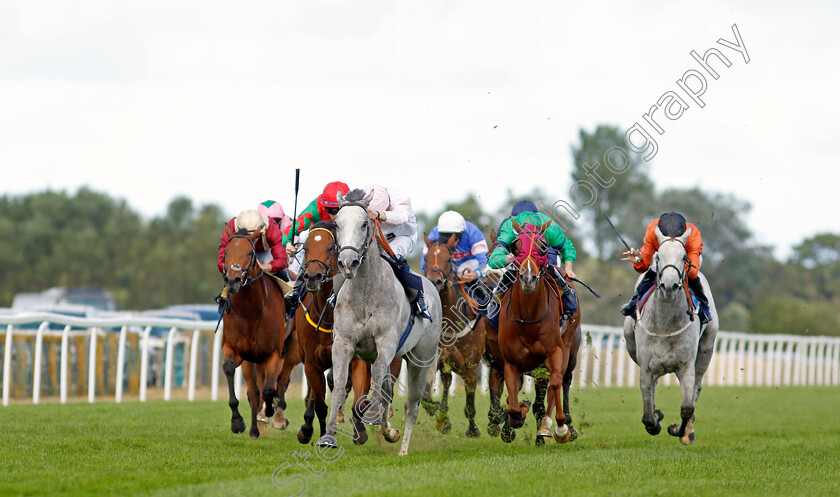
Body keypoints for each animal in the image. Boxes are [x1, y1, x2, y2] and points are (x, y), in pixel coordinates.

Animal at [221, 227, 288, 436]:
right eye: (226, 252)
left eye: (250, 253)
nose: (232, 280)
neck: (251, 309)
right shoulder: (233, 349)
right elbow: (229, 370)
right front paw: (237, 422)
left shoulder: (273, 353)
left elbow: (268, 390)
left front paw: (270, 410)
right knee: (253, 391)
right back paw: (254, 430)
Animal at [316, 188, 446, 456]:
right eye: (337, 224)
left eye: (365, 223)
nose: (348, 262)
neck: (366, 291)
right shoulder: (343, 343)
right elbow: (340, 385)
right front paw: (328, 436)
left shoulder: (386, 342)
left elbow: (376, 377)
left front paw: (372, 415)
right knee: (386, 391)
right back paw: (390, 432)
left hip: (420, 358)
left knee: (411, 404)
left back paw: (403, 448)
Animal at [424, 231, 488, 436]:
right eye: (426, 258)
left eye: (449, 258)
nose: (434, 281)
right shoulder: (439, 361)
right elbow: (430, 395)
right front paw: (442, 419)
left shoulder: (470, 367)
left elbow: (470, 403)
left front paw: (473, 429)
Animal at [496, 220, 580, 442]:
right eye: (515, 246)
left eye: (543, 246)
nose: (527, 277)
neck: (528, 318)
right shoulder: (510, 362)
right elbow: (514, 406)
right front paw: (517, 414)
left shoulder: (554, 351)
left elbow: (555, 382)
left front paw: (560, 428)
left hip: (568, 347)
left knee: (559, 381)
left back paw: (550, 426)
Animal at [628, 224, 720, 442]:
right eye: (658, 256)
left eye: (684, 256)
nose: (669, 285)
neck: (665, 323)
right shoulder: (646, 367)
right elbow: (647, 413)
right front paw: (655, 420)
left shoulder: (686, 366)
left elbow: (687, 407)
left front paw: (680, 430)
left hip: (706, 348)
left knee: (696, 387)